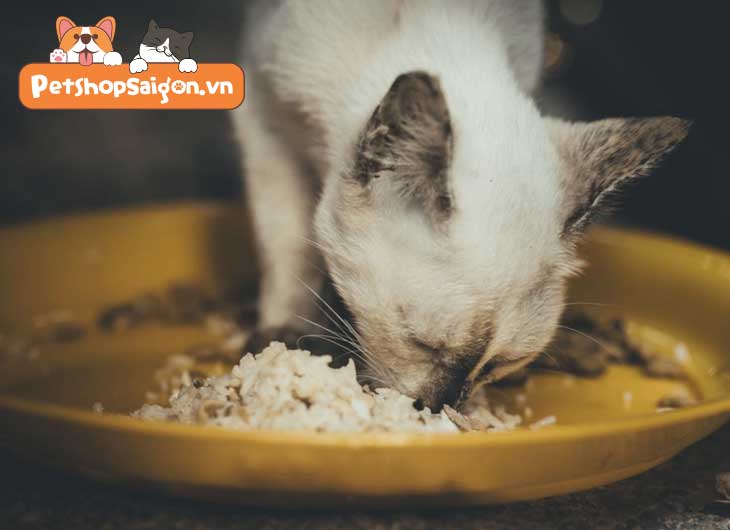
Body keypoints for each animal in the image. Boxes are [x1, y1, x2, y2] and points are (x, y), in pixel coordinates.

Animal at [232, 0, 689, 410]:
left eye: (502, 363)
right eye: (422, 343)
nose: (438, 406)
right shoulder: (265, 118)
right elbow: (290, 245)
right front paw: (286, 332)